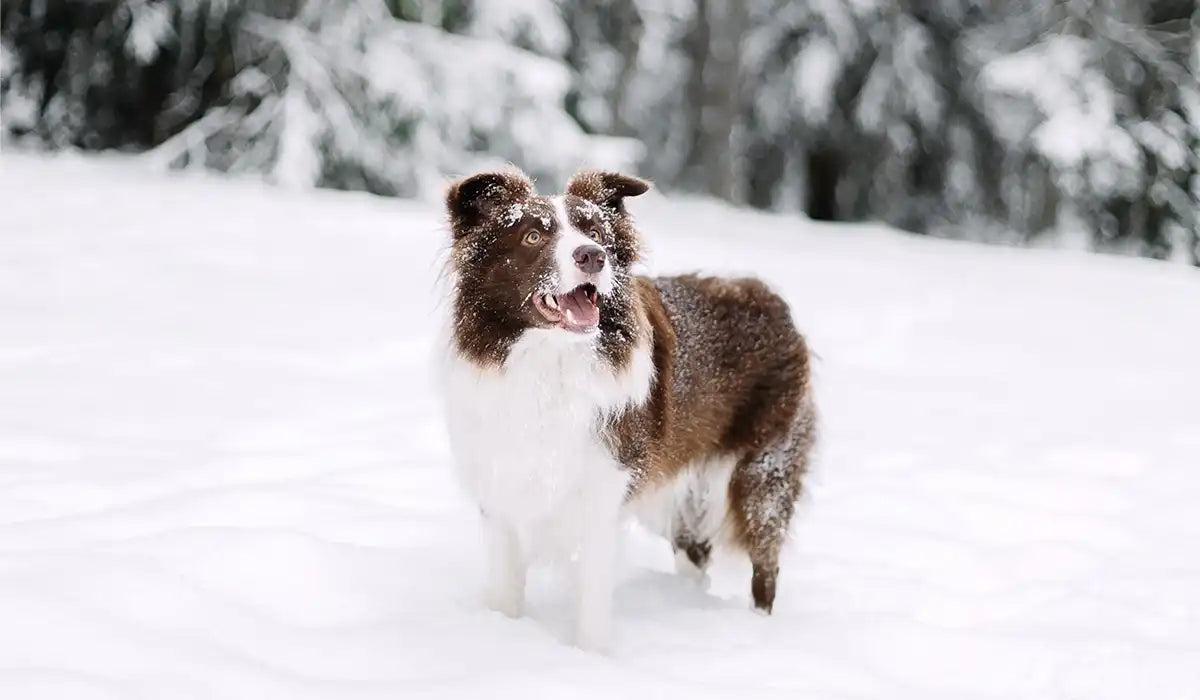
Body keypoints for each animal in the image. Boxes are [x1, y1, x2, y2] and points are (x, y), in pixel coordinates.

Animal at [436, 169, 820, 653]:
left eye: (596, 232)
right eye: (532, 235)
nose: (592, 256)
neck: (551, 363)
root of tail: (768, 295)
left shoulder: (602, 490)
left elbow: (592, 598)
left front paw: (590, 657)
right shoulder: (501, 486)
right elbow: (506, 590)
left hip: (761, 470)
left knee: (764, 560)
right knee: (695, 551)